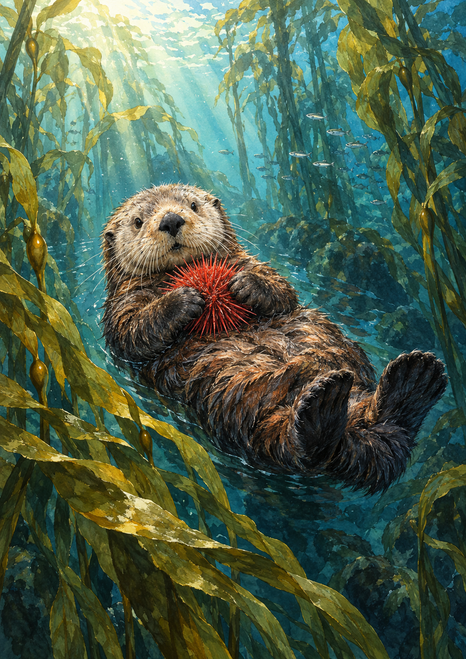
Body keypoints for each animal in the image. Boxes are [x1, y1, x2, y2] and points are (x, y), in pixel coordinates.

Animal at [102, 184, 447, 494]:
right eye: (138, 221)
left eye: (193, 205)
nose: (171, 220)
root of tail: (346, 435)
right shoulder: (121, 306)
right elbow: (133, 332)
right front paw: (182, 299)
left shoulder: (252, 263)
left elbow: (282, 291)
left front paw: (245, 285)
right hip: (238, 406)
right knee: (295, 448)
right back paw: (325, 406)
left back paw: (411, 381)